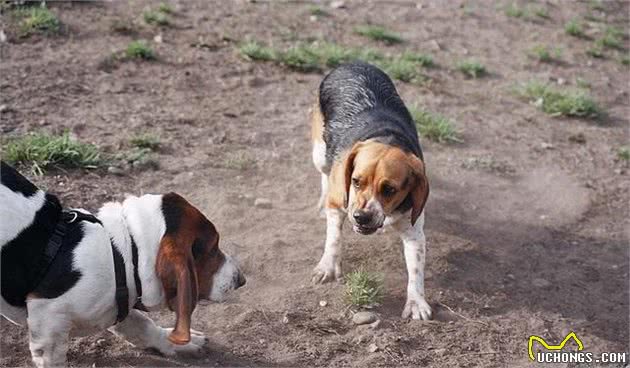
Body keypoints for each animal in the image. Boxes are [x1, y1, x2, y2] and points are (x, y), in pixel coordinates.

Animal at [0, 162, 247, 368]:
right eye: (213, 248)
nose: (241, 280)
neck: (124, 255)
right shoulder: (48, 322)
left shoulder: (121, 303)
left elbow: (142, 325)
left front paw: (177, 344)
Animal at [312, 62, 432, 320]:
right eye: (356, 181)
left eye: (390, 189)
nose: (361, 217)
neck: (386, 137)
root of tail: (353, 62)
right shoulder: (339, 204)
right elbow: (334, 238)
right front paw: (328, 266)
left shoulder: (414, 231)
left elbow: (416, 269)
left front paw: (416, 302)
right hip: (319, 154)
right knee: (324, 175)